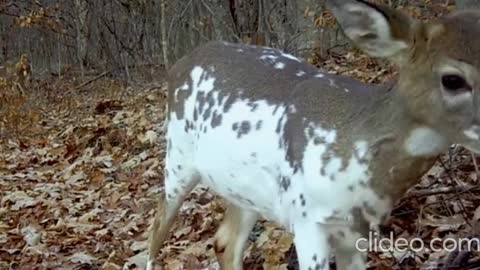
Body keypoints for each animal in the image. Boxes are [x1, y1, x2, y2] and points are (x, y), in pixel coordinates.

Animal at [148, 1, 480, 268]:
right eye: (453, 79)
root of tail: (180, 63)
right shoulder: (307, 220)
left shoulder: (355, 232)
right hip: (177, 158)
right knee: (157, 227)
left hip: (243, 188)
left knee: (224, 241)